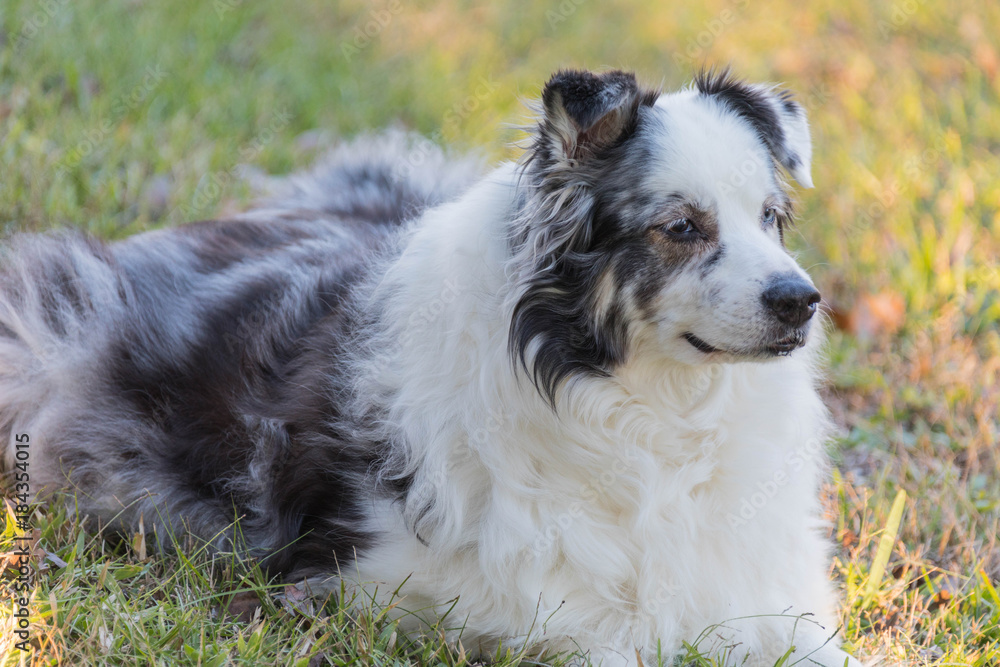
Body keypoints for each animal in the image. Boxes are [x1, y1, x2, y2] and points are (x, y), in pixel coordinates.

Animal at [0, 70, 860, 664]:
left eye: (771, 218)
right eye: (682, 226)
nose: (801, 301)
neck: (653, 413)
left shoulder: (770, 597)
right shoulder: (387, 581)